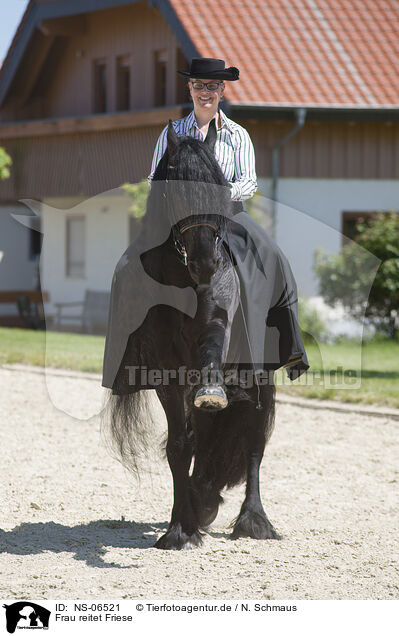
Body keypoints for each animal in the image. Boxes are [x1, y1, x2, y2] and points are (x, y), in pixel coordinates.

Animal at [104, 121, 280, 548]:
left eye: (219, 184)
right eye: (175, 189)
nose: (206, 264)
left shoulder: (214, 333)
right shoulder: (166, 371)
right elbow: (179, 447)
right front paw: (179, 528)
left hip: (262, 374)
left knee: (255, 439)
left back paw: (254, 521)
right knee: (202, 433)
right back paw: (202, 501)